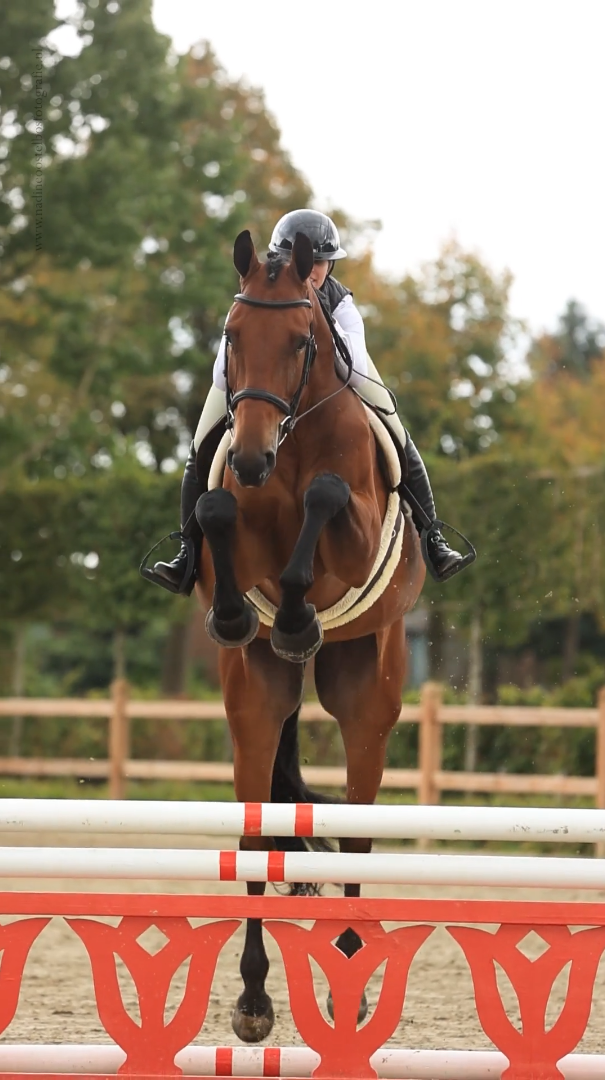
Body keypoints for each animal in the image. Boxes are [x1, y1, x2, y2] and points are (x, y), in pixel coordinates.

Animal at [195, 229, 425, 1042]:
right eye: (232, 336)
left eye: (302, 343)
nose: (251, 456)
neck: (290, 443)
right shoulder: (237, 518)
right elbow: (214, 510)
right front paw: (241, 616)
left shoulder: (350, 526)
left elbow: (326, 496)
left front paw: (297, 617)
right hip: (255, 699)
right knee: (256, 837)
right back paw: (254, 1000)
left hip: (368, 693)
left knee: (357, 832)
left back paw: (349, 982)